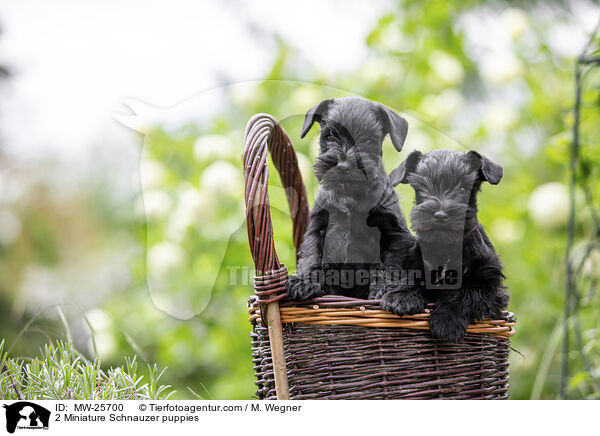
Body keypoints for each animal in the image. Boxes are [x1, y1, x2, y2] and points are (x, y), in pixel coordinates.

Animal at [286, 96, 412, 300]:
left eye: (368, 139)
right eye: (329, 137)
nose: (343, 166)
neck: (349, 197)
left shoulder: (395, 234)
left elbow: (388, 265)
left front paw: (384, 289)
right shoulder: (317, 228)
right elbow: (311, 257)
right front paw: (304, 282)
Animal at [384, 150, 510, 344]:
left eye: (463, 189)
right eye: (422, 188)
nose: (440, 215)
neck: (445, 248)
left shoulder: (492, 286)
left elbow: (468, 293)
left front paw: (446, 320)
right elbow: (413, 277)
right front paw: (401, 296)